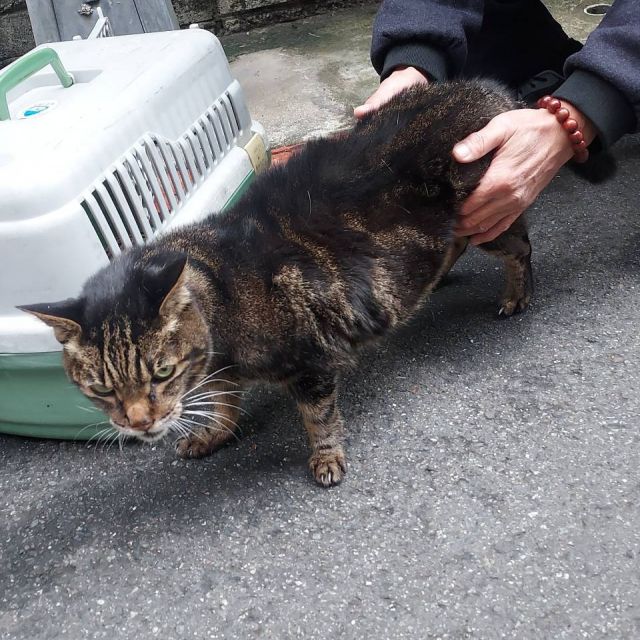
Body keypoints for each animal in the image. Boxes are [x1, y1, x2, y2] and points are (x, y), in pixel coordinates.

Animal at [20, 80, 533, 487]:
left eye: (161, 373)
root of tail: (490, 90)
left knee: (520, 248)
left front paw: (326, 458)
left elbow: (318, 417)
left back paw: (516, 296)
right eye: (102, 390)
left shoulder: (311, 360)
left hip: (489, 215)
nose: (140, 424)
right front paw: (214, 434)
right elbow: (224, 404)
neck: (220, 299)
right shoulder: (221, 372)